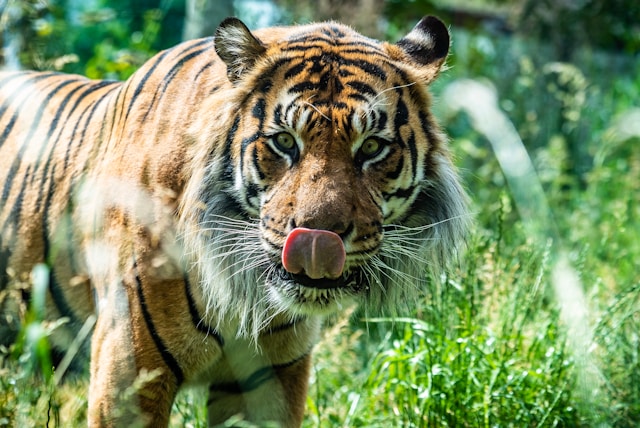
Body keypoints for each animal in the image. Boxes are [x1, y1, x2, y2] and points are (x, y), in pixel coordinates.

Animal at [0, 15, 468, 427]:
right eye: (284, 142)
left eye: (371, 147)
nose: (319, 238)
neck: (244, 294)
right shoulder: (129, 373)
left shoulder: (270, 380)